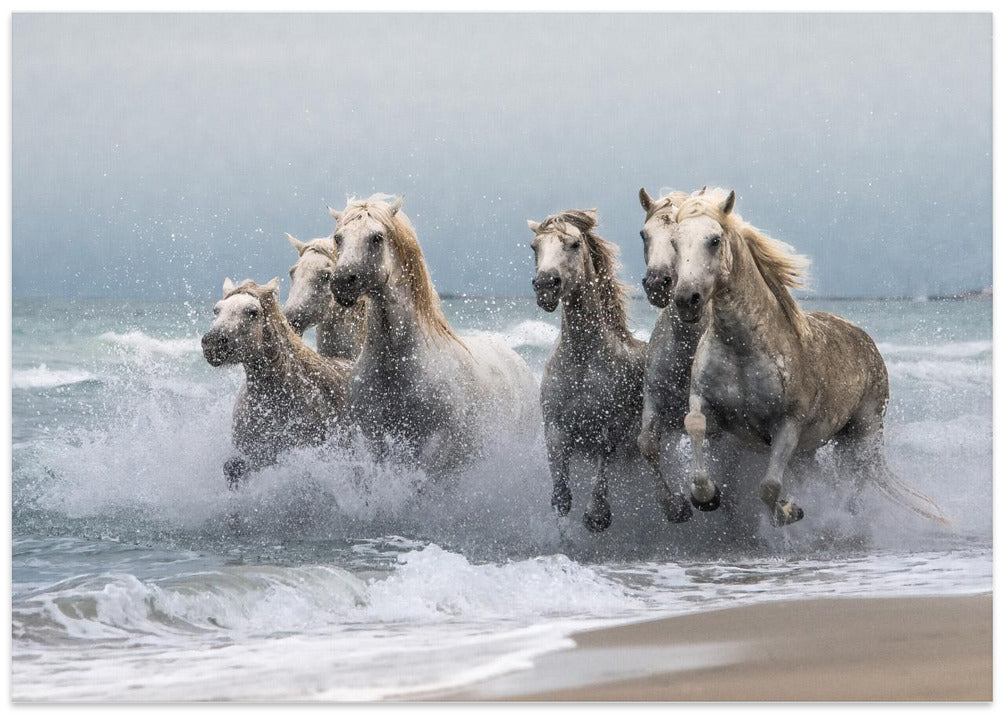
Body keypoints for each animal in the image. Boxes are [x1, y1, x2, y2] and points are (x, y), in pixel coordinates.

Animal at [327, 194, 539, 476]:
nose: (342, 282)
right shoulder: (374, 441)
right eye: (338, 238)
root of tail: (518, 361)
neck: (397, 364)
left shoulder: (438, 445)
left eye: (377, 237)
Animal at [528, 209, 647, 533]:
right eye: (534, 247)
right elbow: (561, 496)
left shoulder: (609, 428)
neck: (582, 360)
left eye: (573, 244)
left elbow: (603, 466)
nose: (546, 285)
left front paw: (597, 516)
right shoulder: (555, 428)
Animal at [668, 189, 949, 527]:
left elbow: (769, 486)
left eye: (714, 240)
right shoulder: (703, 400)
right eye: (674, 242)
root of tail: (867, 341)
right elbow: (695, 424)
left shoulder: (788, 426)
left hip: (862, 434)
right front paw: (705, 496)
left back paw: (849, 516)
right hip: (815, 449)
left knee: (858, 478)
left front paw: (789, 512)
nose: (687, 299)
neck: (742, 349)